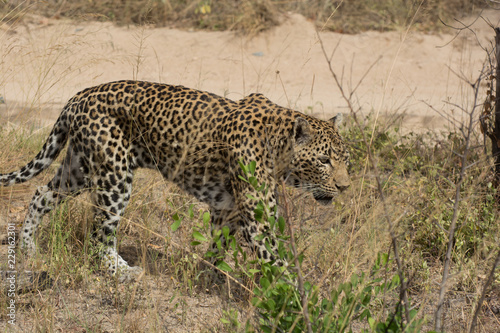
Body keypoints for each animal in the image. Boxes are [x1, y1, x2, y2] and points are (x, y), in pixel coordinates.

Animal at [0, 80, 352, 280]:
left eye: (345, 160)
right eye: (324, 161)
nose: (344, 186)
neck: (278, 149)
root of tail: (77, 97)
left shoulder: (227, 210)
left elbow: (218, 247)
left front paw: (206, 275)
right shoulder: (258, 222)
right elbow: (279, 265)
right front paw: (298, 302)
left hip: (80, 170)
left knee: (41, 193)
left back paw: (29, 247)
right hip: (115, 176)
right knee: (100, 234)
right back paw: (122, 272)